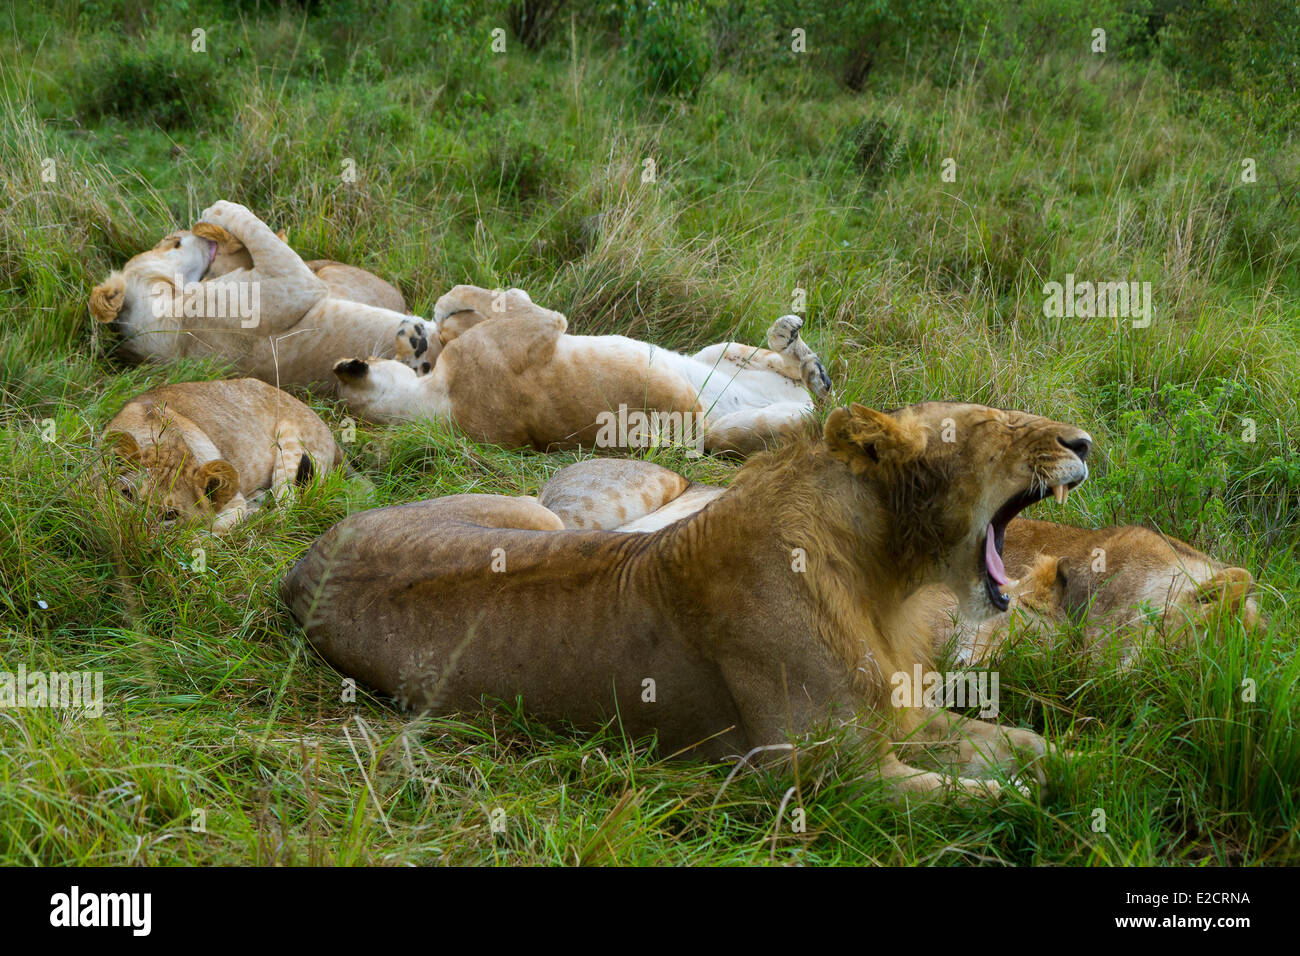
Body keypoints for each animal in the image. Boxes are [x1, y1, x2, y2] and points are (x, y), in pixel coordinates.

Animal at [104, 378, 342, 533]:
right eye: (127, 495)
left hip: (291, 445)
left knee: (287, 507)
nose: (130, 535)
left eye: (170, 516)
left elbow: (212, 529)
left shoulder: (234, 502)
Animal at [281, 402, 1093, 798]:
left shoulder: (907, 721)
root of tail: (300, 564)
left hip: (540, 517)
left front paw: (1094, 764)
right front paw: (1058, 802)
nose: (1085, 441)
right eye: (995, 428)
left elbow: (1032, 748)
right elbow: (1000, 798)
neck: (886, 580)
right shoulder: (823, 777)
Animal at [331, 283, 832, 456]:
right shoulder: (539, 325)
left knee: (790, 367)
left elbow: (462, 311)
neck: (436, 402)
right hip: (733, 431)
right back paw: (807, 365)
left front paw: (417, 334)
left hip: (715, 351)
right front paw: (433, 318)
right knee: (819, 404)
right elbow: (485, 298)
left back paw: (799, 348)